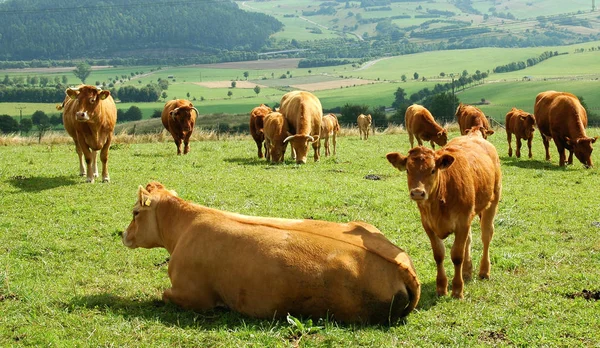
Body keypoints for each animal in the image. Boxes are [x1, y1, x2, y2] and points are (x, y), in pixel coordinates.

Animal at [122, 182, 422, 324]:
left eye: (135, 212)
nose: (124, 235)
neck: (185, 226)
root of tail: (401, 265)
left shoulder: (193, 295)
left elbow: (165, 294)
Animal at [384, 134, 502, 300]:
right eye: (407, 169)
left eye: (433, 170)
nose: (417, 193)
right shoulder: (428, 224)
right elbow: (439, 255)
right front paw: (441, 287)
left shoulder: (462, 222)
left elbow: (457, 256)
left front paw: (457, 290)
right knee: (469, 240)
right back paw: (467, 271)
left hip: (493, 201)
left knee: (486, 236)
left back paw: (484, 271)